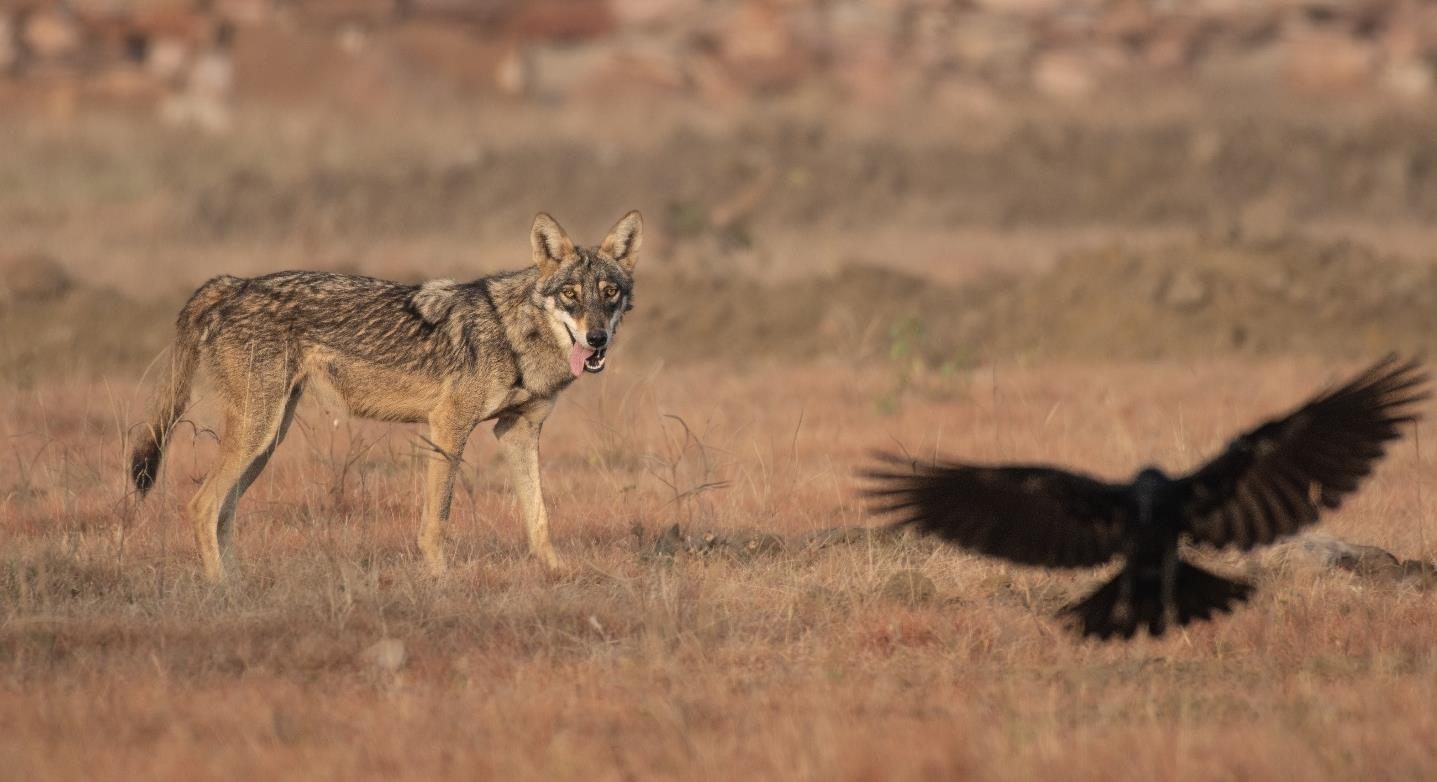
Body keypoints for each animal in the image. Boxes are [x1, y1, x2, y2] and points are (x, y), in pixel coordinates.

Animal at [131, 211, 643, 581]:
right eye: (570, 295)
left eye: (609, 293)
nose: (596, 339)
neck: (515, 333)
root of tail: (233, 283)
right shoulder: (449, 426)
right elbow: (437, 519)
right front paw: (441, 580)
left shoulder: (517, 430)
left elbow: (539, 516)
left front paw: (560, 573)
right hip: (258, 434)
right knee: (201, 506)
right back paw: (222, 589)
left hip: (268, 438)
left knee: (224, 511)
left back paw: (239, 583)